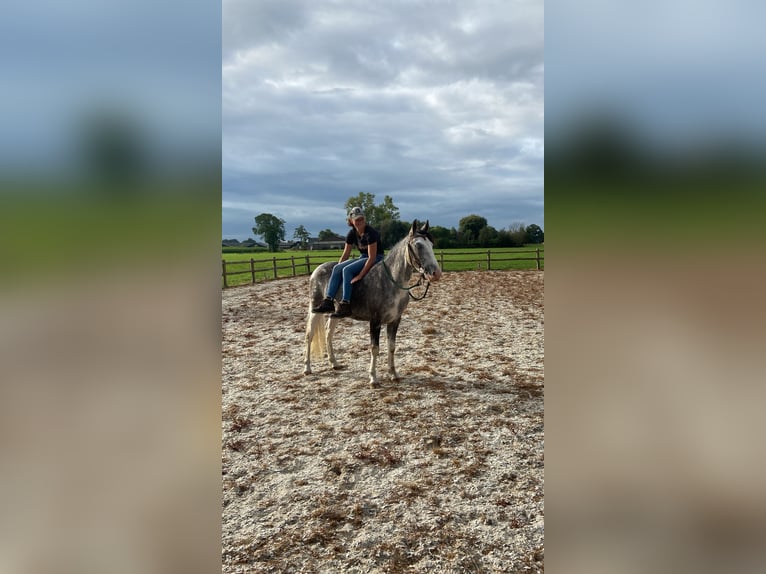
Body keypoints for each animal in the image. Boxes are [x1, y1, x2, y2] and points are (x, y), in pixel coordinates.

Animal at [304, 223, 440, 390]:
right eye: (419, 245)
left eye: (431, 245)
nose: (436, 273)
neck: (391, 281)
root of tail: (316, 270)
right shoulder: (375, 322)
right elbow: (375, 349)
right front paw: (373, 378)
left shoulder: (395, 320)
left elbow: (391, 346)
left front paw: (393, 374)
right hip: (314, 309)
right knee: (309, 335)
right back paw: (307, 368)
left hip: (335, 314)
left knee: (329, 334)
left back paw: (334, 363)